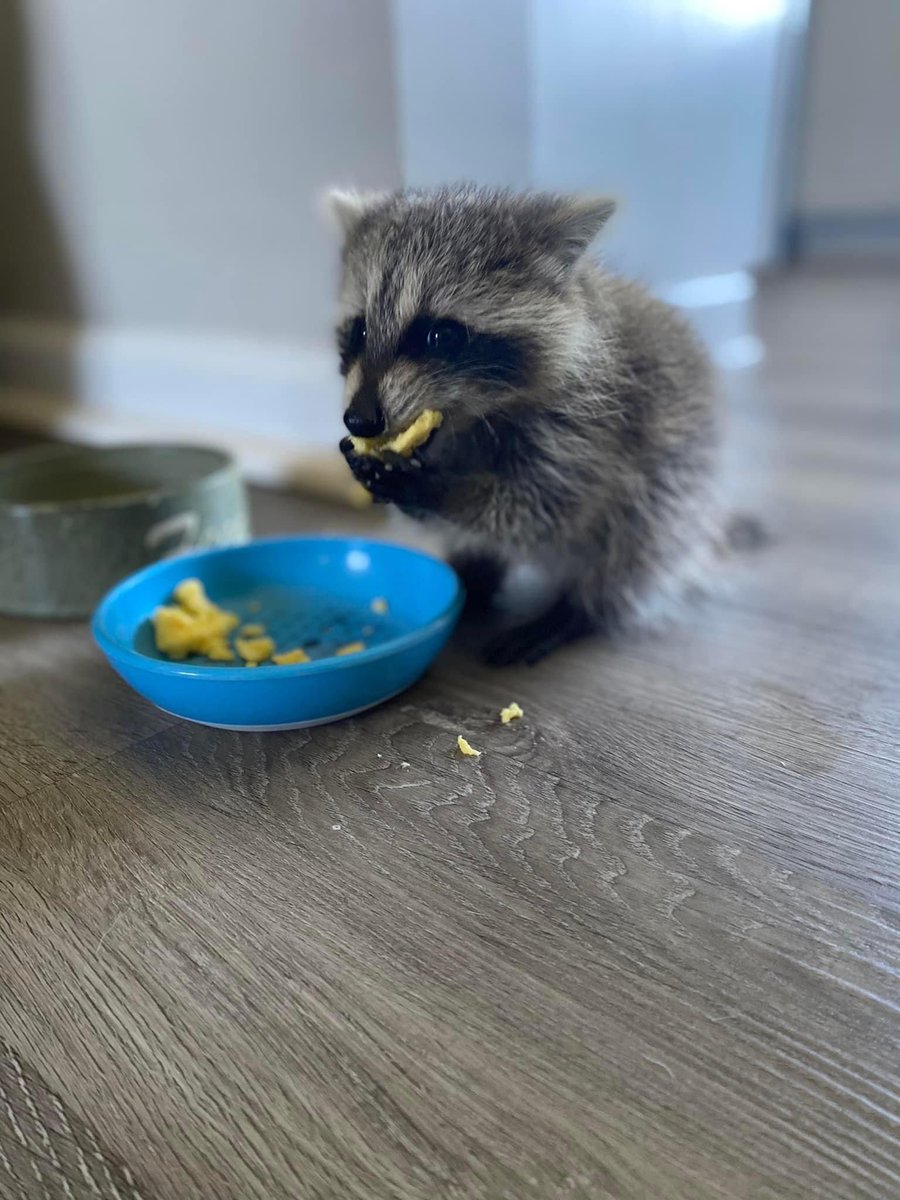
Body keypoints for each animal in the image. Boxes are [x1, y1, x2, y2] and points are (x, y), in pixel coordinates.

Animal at [330, 185, 720, 665]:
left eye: (439, 336)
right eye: (360, 331)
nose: (359, 420)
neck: (469, 419)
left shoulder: (597, 428)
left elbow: (541, 507)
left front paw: (444, 490)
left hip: (675, 484)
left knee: (635, 543)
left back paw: (577, 607)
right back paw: (475, 576)